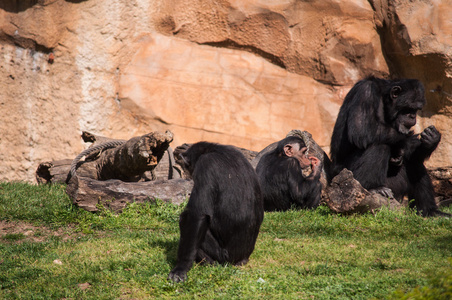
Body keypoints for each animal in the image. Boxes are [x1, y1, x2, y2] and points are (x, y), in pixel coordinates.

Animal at [167, 142, 264, 282]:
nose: (188, 175)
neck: (214, 150)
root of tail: (240, 260)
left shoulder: (205, 165)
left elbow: (197, 216)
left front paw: (181, 267)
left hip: (222, 256)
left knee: (185, 220)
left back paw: (209, 263)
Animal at [330, 76, 450, 217]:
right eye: (409, 108)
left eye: (416, 109)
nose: (412, 116)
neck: (384, 100)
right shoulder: (365, 92)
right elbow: (361, 129)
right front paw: (408, 140)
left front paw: (431, 139)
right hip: (348, 175)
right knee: (379, 146)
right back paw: (374, 188)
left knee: (414, 162)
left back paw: (430, 211)